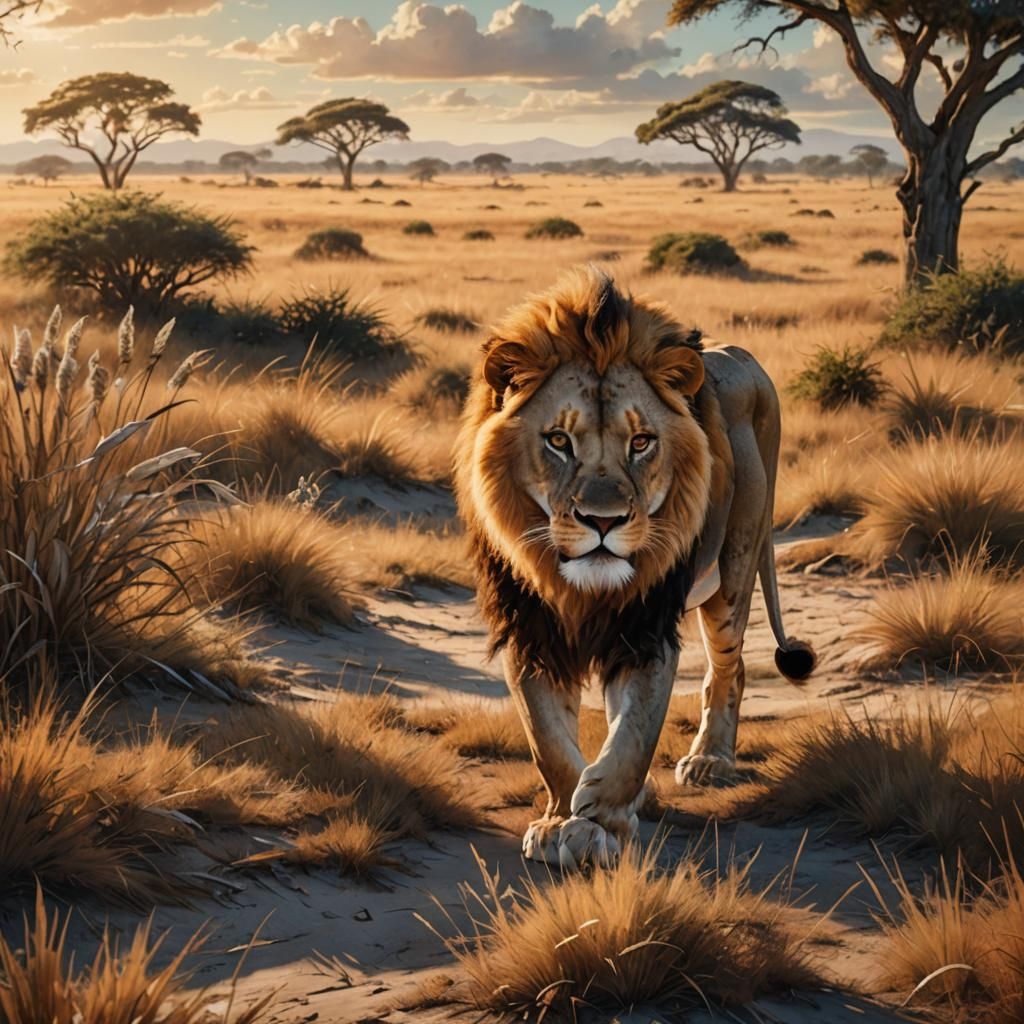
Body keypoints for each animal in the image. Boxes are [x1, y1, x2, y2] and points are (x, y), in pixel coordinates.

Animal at [454, 267, 815, 869]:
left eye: (641, 442)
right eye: (558, 440)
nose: (603, 521)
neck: (582, 589)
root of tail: (746, 360)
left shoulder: (647, 629)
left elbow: (634, 735)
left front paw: (600, 823)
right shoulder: (530, 627)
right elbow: (548, 738)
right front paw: (559, 820)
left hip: (735, 569)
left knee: (730, 667)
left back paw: (711, 760)